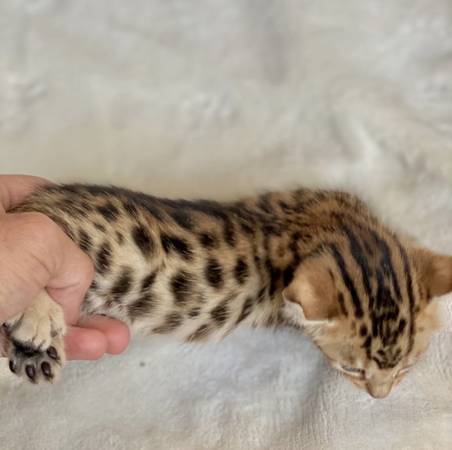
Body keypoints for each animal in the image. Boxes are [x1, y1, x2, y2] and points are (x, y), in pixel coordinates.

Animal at [3, 184, 451, 399]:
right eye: (352, 370)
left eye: (407, 367)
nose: (380, 397)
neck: (334, 226)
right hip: (71, 237)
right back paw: (38, 321)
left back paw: (34, 357)